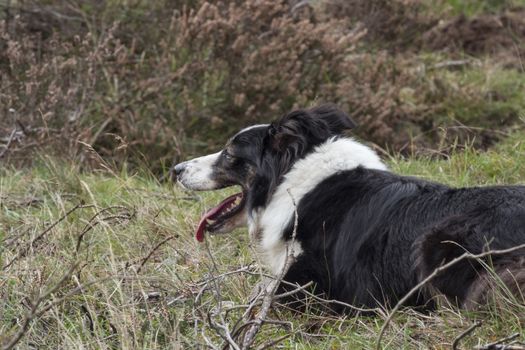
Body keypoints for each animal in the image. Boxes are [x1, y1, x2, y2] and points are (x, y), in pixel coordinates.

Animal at [172, 104, 524, 312]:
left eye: (229, 154)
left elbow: (252, 300)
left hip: (437, 242)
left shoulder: (308, 287)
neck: (292, 183)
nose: (176, 169)